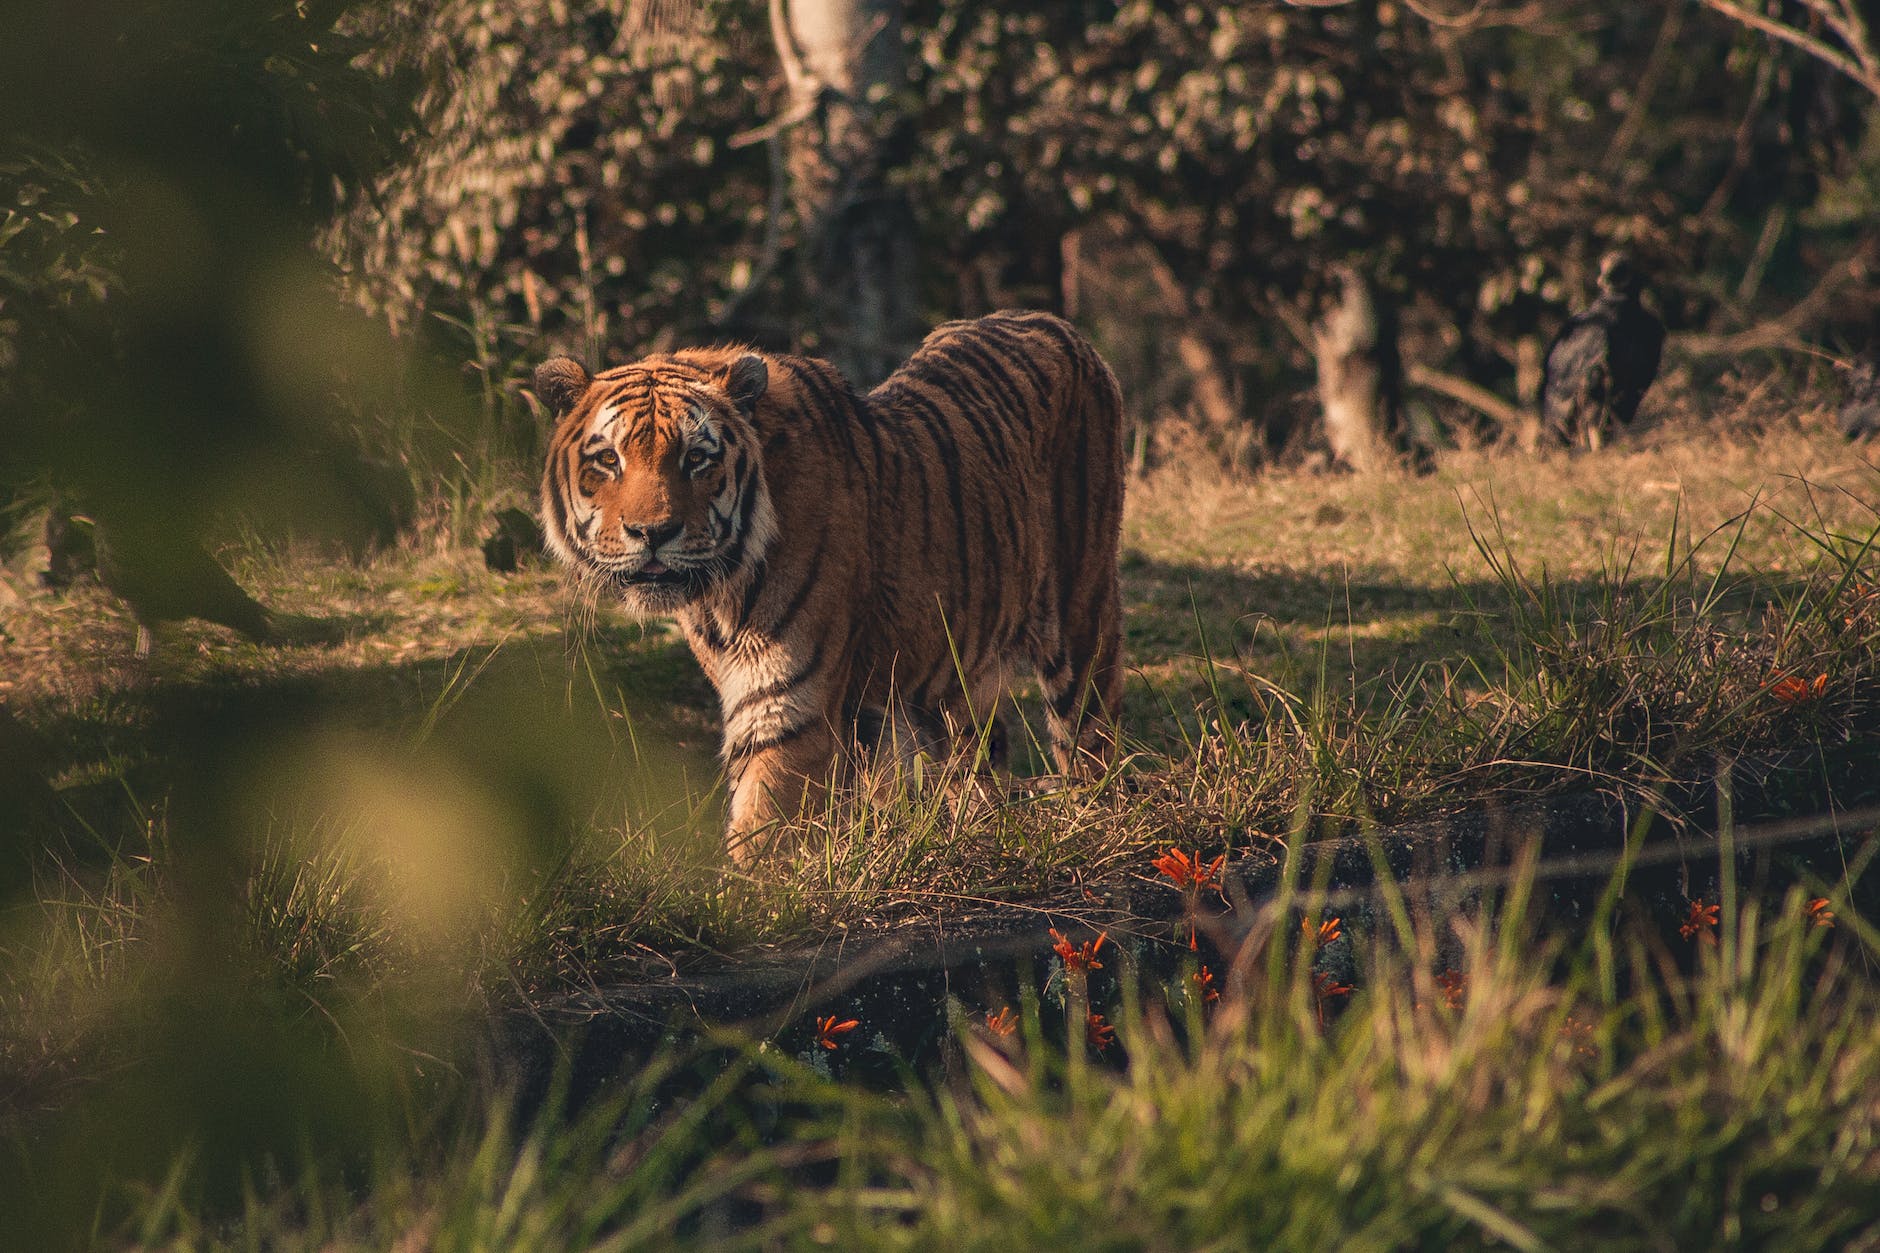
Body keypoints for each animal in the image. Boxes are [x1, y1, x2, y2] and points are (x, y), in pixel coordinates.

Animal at [536, 310, 1126, 862]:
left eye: (696, 458)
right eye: (608, 459)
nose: (652, 533)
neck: (717, 595)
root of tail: (1051, 322)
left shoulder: (790, 703)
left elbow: (762, 830)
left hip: (1081, 617)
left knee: (1089, 735)